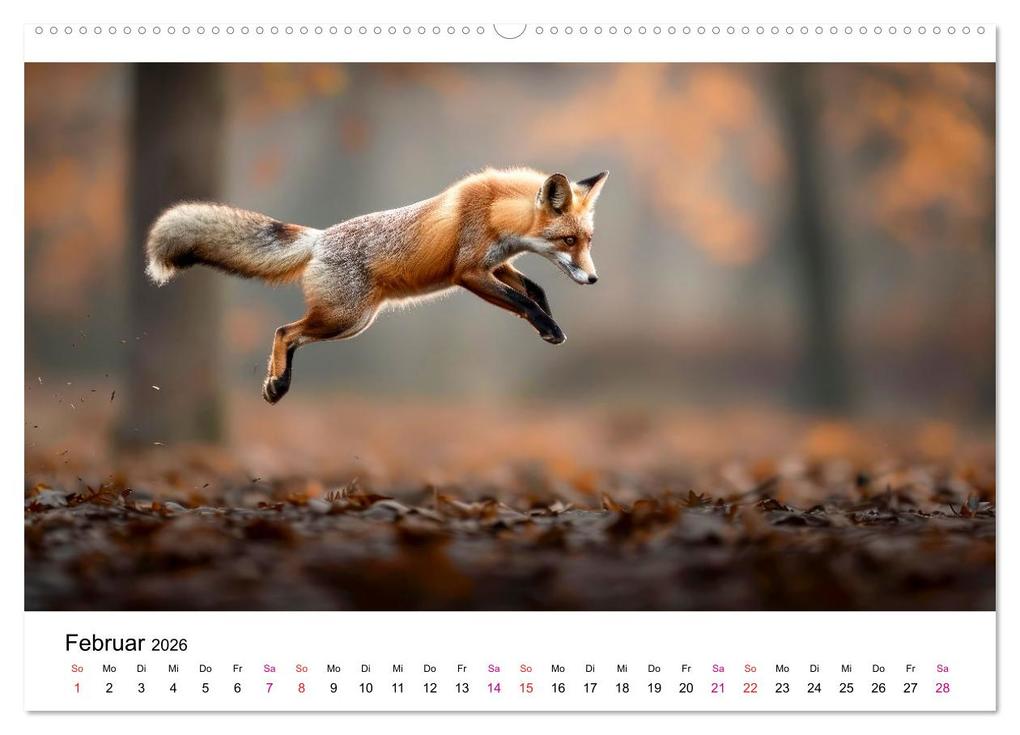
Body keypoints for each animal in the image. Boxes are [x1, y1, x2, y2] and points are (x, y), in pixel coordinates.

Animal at [145, 167, 608, 404]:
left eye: (587, 240)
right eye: (569, 241)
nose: (593, 278)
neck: (497, 212)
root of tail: (319, 238)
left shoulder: (497, 264)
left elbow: (535, 291)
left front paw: (549, 323)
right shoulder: (468, 273)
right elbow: (522, 301)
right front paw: (549, 327)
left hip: (352, 323)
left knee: (292, 335)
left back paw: (277, 385)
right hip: (344, 318)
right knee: (284, 331)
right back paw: (277, 384)